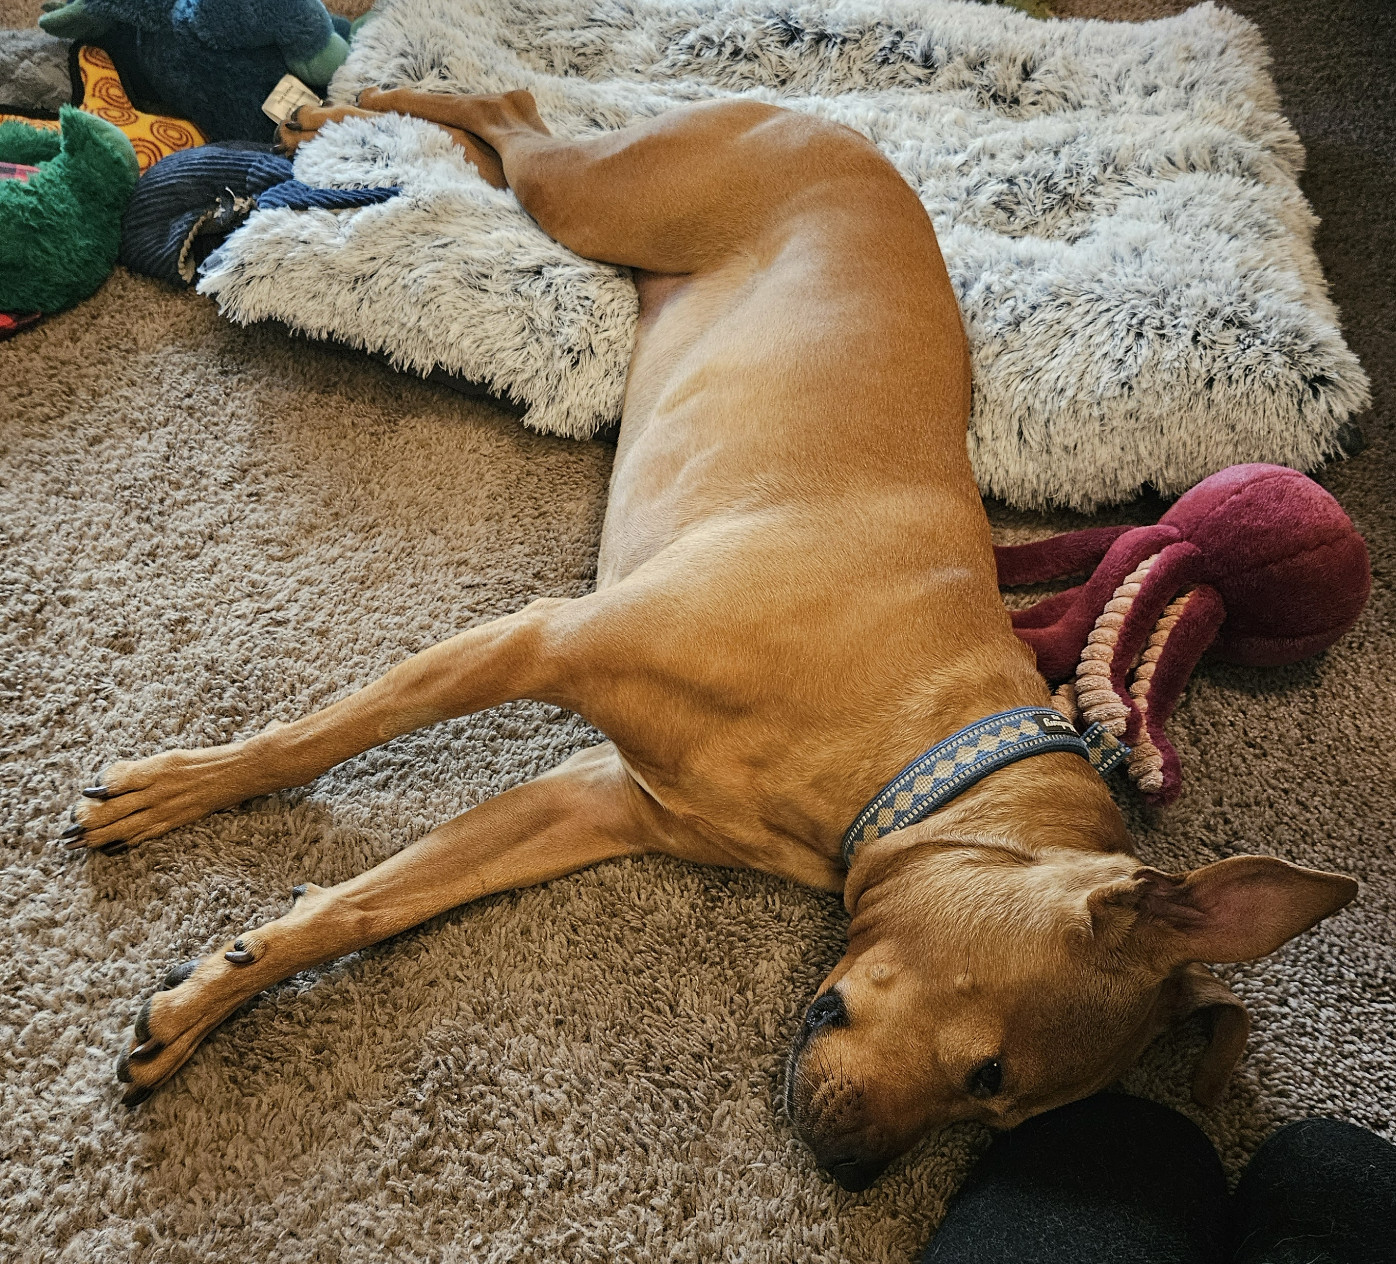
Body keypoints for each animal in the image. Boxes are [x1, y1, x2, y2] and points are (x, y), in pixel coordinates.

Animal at [62, 93, 1351, 1189]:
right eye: (989, 1074)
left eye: (995, 1114)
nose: (851, 1176)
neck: (911, 743)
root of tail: (837, 124)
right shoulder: (532, 641)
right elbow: (315, 738)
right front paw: (175, 791)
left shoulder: (595, 803)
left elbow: (377, 901)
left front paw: (207, 997)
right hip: (597, 195)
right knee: (512, 110)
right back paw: (347, 111)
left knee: (518, 126)